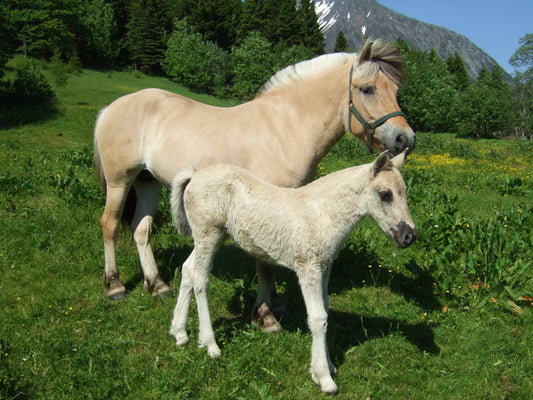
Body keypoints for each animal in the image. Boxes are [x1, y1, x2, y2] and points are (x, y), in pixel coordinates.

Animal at [92, 39, 416, 330]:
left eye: (395, 90)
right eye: (367, 89)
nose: (406, 140)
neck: (285, 127)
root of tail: (109, 109)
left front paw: (275, 303)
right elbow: (265, 265)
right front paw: (265, 316)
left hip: (148, 182)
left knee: (141, 230)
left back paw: (156, 284)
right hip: (121, 181)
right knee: (109, 224)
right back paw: (115, 285)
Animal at [168, 150, 418, 394]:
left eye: (404, 191)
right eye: (385, 194)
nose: (409, 236)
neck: (323, 213)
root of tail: (194, 176)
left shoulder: (325, 266)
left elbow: (325, 309)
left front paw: (326, 366)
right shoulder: (308, 268)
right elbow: (318, 318)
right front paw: (324, 378)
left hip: (214, 237)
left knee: (188, 269)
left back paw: (179, 332)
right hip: (208, 235)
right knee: (201, 279)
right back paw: (210, 344)